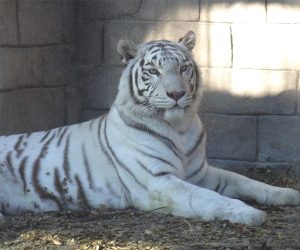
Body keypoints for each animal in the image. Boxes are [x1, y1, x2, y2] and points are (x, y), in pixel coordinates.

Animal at [0, 30, 300, 226]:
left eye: (183, 68)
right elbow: (207, 197)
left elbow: (246, 181)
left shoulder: (199, 172)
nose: (177, 94)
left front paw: (287, 194)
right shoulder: (158, 180)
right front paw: (248, 213)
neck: (180, 127)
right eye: (154, 71)